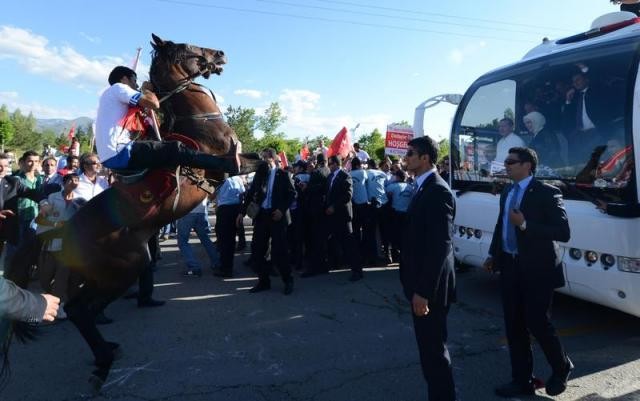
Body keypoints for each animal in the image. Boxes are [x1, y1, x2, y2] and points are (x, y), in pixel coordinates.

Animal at [3, 33, 262, 390]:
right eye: (188, 47)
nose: (220, 53)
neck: (198, 125)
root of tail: (66, 229)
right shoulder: (226, 165)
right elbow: (255, 161)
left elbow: (263, 157)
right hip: (124, 267)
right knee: (81, 308)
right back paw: (104, 360)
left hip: (103, 272)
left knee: (79, 307)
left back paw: (105, 350)